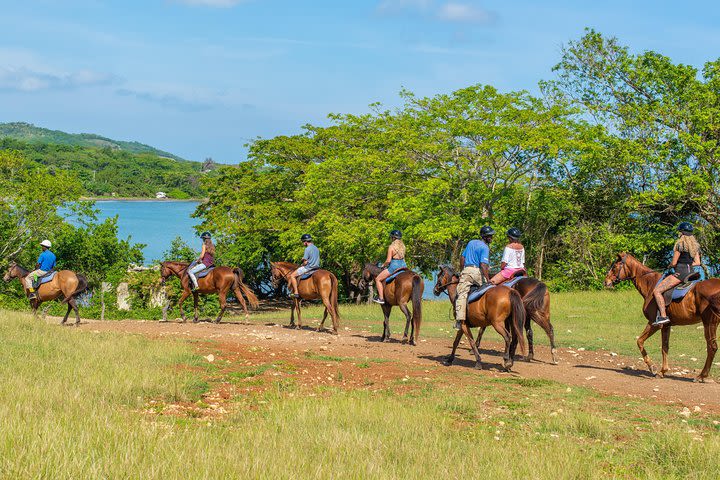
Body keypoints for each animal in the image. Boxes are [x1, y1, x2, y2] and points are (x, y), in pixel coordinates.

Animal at [604, 251, 720, 382]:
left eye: (614, 267)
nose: (606, 281)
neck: (651, 285)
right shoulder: (666, 326)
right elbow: (665, 347)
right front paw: (663, 371)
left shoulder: (654, 324)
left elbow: (639, 341)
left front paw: (652, 367)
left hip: (709, 322)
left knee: (712, 347)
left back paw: (701, 375)